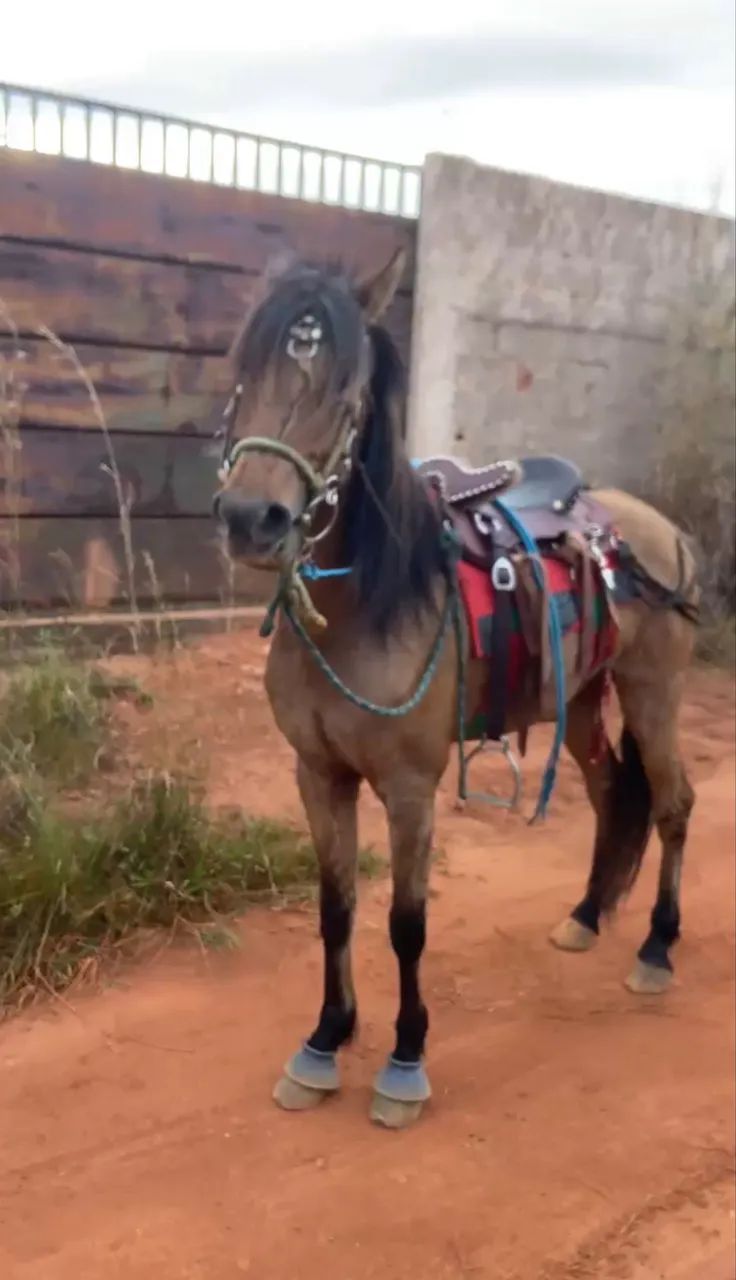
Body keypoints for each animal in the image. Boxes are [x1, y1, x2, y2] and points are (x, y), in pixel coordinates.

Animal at [212, 250, 699, 1128]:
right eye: (243, 370)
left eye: (346, 395)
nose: (250, 518)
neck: (363, 605)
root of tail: (663, 531)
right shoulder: (318, 774)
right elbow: (336, 907)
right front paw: (325, 1040)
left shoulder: (410, 786)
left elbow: (407, 923)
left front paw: (405, 1060)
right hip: (582, 702)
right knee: (614, 796)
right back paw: (585, 918)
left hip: (654, 691)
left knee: (673, 804)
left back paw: (655, 948)